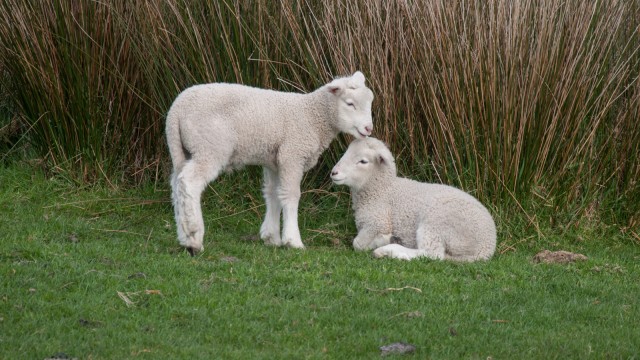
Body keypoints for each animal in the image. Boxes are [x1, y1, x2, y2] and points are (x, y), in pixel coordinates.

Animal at [166, 71, 376, 255]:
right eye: (350, 103)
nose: (368, 128)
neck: (313, 116)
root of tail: (176, 109)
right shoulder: (292, 154)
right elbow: (291, 195)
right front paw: (293, 240)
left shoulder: (274, 160)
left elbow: (273, 194)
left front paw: (271, 238)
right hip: (210, 147)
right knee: (189, 182)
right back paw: (194, 239)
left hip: (183, 150)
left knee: (177, 186)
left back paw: (184, 237)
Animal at [332, 136, 498, 260]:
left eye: (363, 161)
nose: (333, 173)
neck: (383, 189)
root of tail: (486, 247)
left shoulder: (377, 222)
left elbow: (357, 244)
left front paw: (382, 240)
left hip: (436, 224)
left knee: (431, 254)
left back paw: (388, 250)